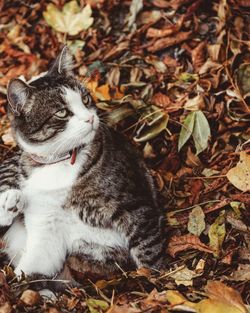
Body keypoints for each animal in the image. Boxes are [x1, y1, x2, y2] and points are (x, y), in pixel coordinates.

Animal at [0, 46, 165, 290]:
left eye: (86, 99)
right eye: (61, 112)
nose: (90, 118)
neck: (61, 161)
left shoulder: (134, 204)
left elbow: (149, 252)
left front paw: (162, 280)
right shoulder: (46, 224)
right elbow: (34, 266)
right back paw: (10, 201)